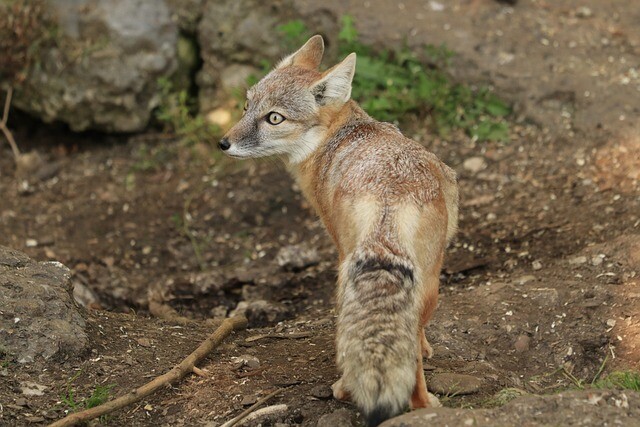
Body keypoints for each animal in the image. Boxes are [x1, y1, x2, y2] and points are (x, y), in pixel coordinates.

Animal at [218, 35, 458, 426]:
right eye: (245, 107)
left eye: (274, 118)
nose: (223, 143)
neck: (338, 135)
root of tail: (389, 198)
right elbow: (417, 334)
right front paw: (426, 347)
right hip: (426, 282)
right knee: (405, 343)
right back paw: (421, 403)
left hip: (351, 276)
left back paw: (352, 390)